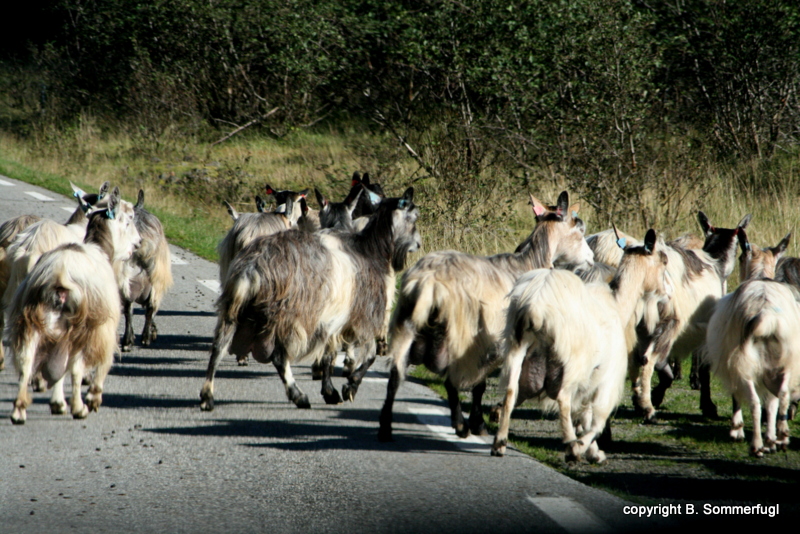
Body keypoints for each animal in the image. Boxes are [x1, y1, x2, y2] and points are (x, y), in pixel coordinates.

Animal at [7, 189, 140, 424]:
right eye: (128, 219)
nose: (138, 243)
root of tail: (60, 273)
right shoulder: (104, 327)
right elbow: (97, 363)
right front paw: (93, 397)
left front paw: (58, 404)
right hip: (84, 324)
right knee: (76, 367)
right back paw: (79, 407)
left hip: (31, 318)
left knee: (26, 361)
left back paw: (20, 410)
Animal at [199, 188, 421, 411]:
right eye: (414, 216)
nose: (418, 244)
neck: (370, 251)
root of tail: (253, 267)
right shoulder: (361, 317)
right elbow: (365, 355)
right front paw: (347, 387)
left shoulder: (332, 321)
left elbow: (328, 356)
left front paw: (331, 389)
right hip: (291, 315)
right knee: (279, 357)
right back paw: (299, 395)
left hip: (233, 306)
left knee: (218, 347)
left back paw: (207, 396)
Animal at [378, 192, 594, 442]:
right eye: (579, 229)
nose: (591, 258)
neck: (531, 262)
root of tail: (428, 282)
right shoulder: (492, 343)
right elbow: (481, 386)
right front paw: (481, 422)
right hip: (460, 335)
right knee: (451, 381)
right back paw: (460, 426)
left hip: (404, 323)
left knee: (394, 377)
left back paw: (385, 428)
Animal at [491, 230, 671, 463]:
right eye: (664, 260)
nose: (668, 294)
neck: (617, 305)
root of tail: (534, 306)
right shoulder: (606, 375)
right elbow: (597, 417)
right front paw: (585, 448)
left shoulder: (591, 376)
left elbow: (585, 416)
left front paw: (593, 451)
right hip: (570, 361)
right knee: (563, 398)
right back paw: (570, 446)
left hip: (518, 349)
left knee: (511, 392)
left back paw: (500, 443)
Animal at [704, 230, 798, 456]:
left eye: (740, 258)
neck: (761, 275)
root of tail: (766, 315)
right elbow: (771, 403)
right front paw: (771, 440)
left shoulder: (732, 364)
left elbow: (738, 396)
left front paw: (737, 430)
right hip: (785, 360)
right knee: (781, 395)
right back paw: (781, 436)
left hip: (744, 362)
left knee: (755, 401)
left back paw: (756, 445)